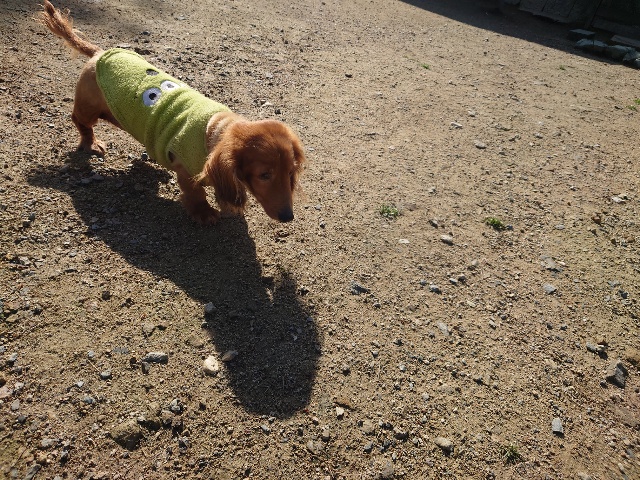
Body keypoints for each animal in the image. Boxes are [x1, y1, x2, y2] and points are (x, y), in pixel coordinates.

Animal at [39, 0, 305, 224]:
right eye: (264, 175)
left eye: (291, 172)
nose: (288, 217)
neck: (214, 132)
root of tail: (100, 53)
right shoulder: (185, 169)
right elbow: (195, 192)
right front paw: (204, 212)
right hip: (89, 108)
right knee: (80, 121)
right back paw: (90, 143)